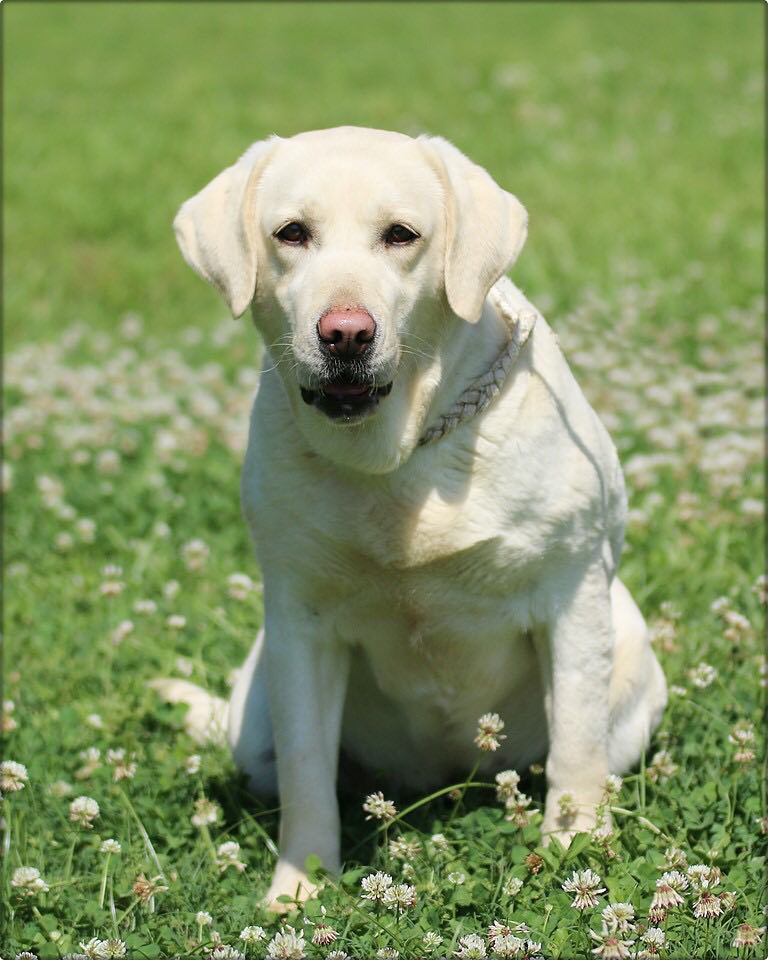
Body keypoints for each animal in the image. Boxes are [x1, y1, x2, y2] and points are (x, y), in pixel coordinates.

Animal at [160, 125, 664, 908]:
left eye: (401, 235)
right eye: (291, 233)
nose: (345, 333)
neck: (394, 459)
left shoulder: (573, 593)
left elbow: (576, 750)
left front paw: (576, 849)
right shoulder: (300, 622)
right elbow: (308, 773)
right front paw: (299, 889)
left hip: (631, 653)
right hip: (256, 708)